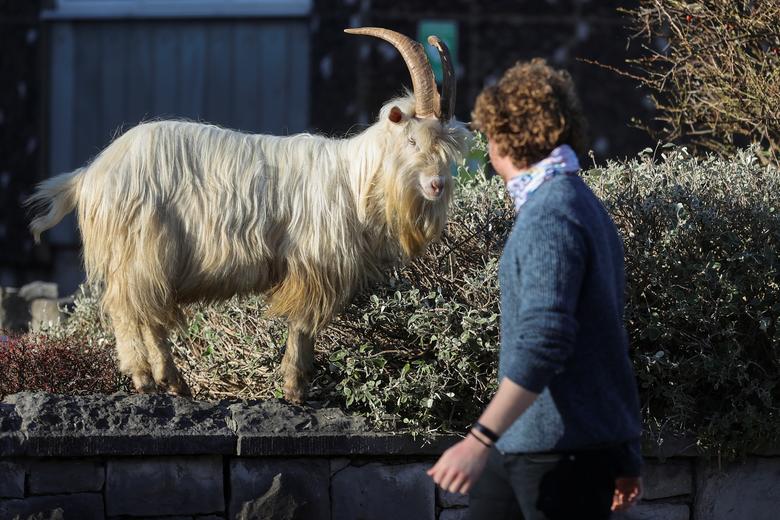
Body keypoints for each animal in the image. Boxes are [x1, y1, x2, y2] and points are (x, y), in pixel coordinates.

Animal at [27, 27, 470, 402]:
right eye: (411, 140)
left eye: (447, 147)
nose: (436, 185)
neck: (353, 180)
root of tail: (91, 173)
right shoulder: (312, 264)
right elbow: (302, 326)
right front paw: (294, 389)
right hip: (140, 246)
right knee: (127, 307)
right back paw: (144, 378)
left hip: (150, 257)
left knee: (149, 314)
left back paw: (174, 383)